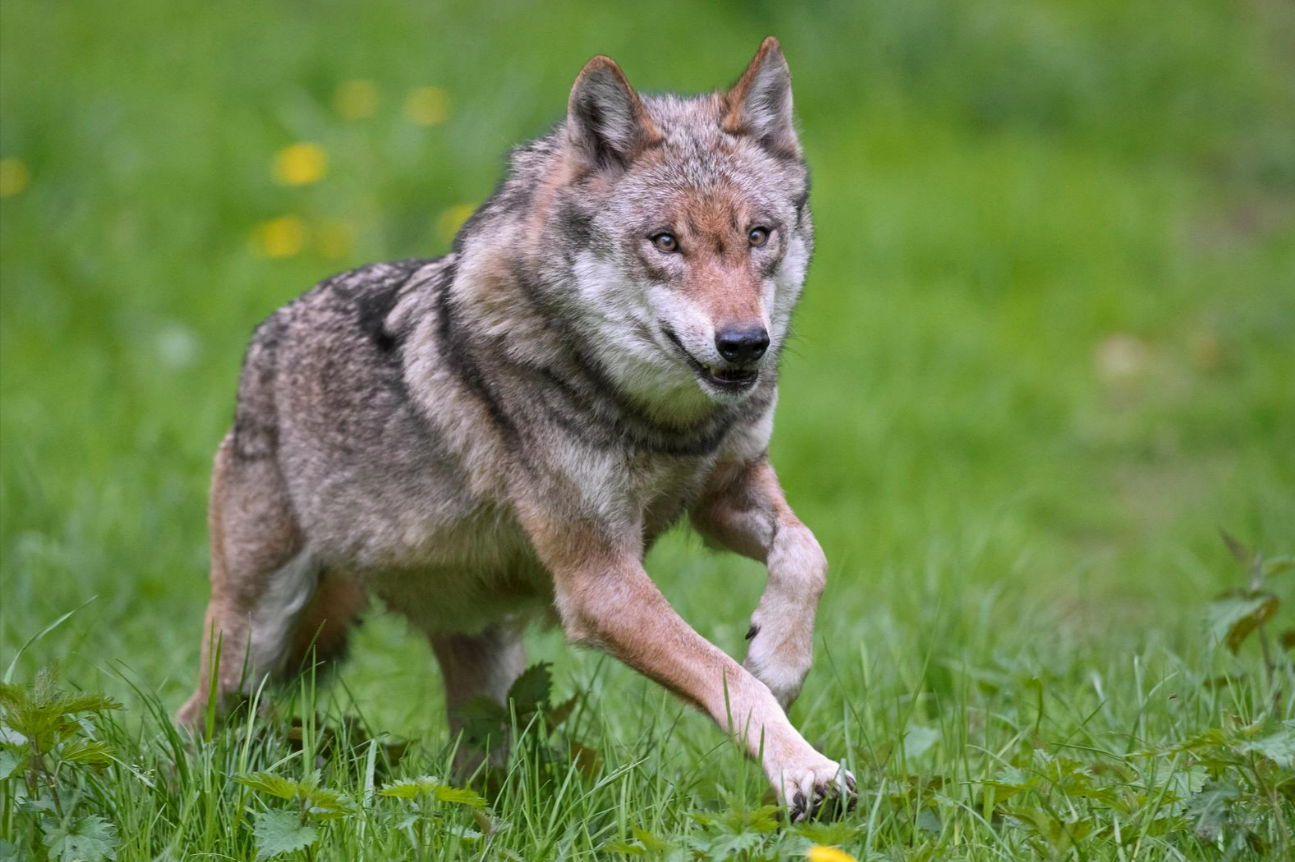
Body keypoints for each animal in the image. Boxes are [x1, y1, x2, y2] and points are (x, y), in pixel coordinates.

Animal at [180, 36, 849, 817]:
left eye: (758, 236)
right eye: (664, 242)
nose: (744, 344)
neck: (655, 420)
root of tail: (263, 343)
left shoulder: (723, 491)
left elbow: (806, 553)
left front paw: (780, 656)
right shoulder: (599, 583)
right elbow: (726, 677)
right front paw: (806, 771)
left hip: (484, 667)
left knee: (471, 772)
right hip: (257, 638)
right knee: (196, 718)